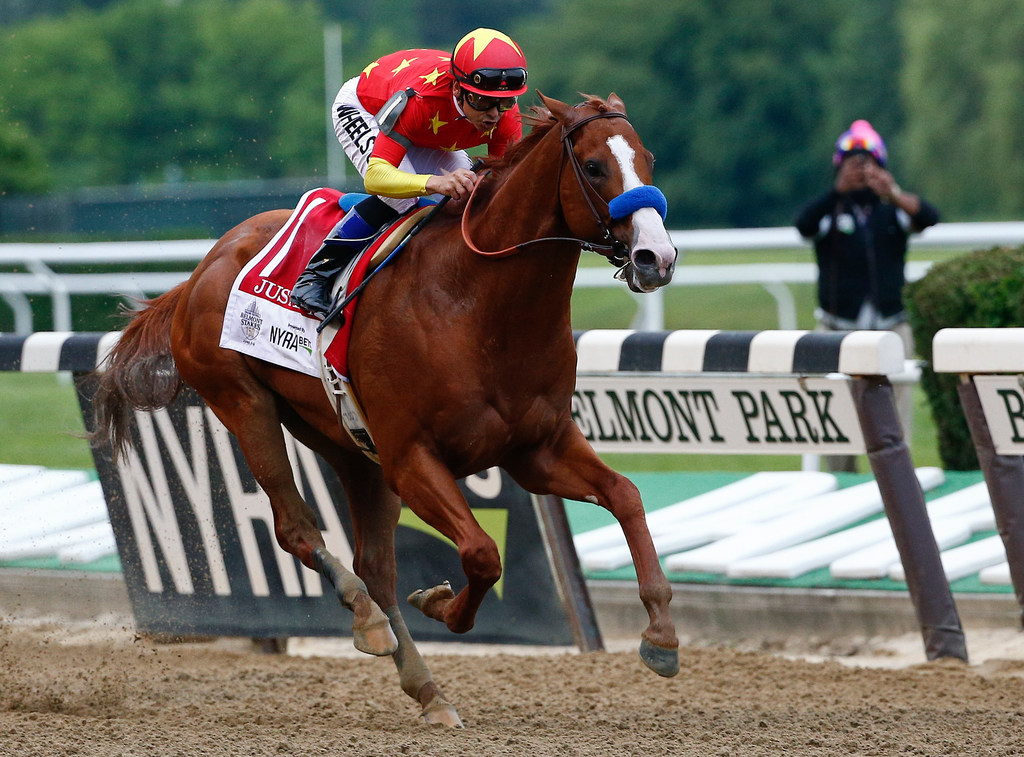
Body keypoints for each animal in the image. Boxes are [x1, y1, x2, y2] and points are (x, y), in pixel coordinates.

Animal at [90, 91, 679, 725]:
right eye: (593, 167)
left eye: (648, 159)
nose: (657, 257)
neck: (478, 305)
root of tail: (202, 269)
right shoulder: (411, 458)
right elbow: (482, 553)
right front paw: (441, 603)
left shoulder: (537, 448)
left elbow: (625, 494)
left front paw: (661, 636)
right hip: (244, 404)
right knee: (297, 529)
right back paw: (369, 621)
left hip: (344, 441)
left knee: (375, 565)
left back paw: (427, 688)